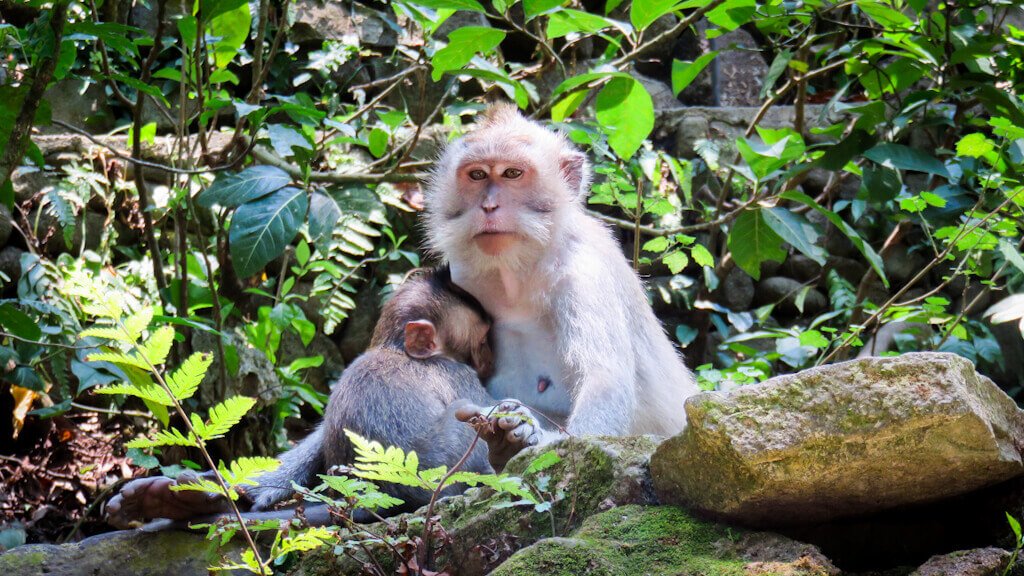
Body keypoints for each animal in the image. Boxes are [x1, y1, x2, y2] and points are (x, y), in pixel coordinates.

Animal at [105, 267, 541, 529]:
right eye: (480, 340)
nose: (490, 355)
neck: (398, 349)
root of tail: (376, 499)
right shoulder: (457, 373)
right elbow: (474, 402)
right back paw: (502, 451)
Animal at [424, 104, 701, 440]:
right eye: (477, 175)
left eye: (512, 173)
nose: (488, 206)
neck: (519, 271)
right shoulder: (461, 273)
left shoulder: (584, 272)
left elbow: (605, 382)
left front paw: (530, 434)